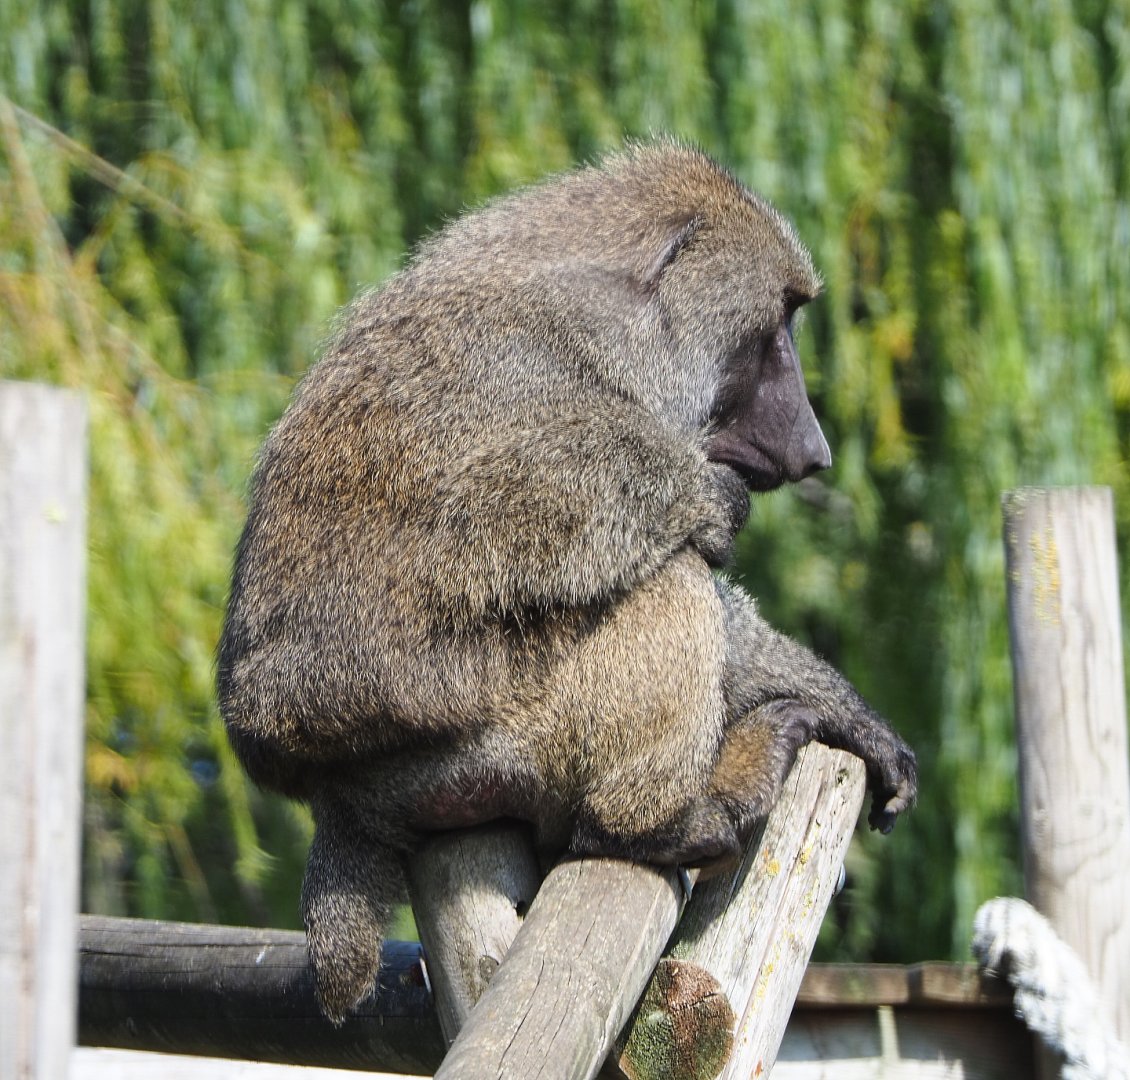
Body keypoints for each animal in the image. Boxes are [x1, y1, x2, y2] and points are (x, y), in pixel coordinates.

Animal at [217, 140, 918, 1024]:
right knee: (664, 577)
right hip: (489, 746)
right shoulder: (572, 368)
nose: (815, 448)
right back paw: (659, 820)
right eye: (779, 329)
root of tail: (333, 796)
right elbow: (521, 520)